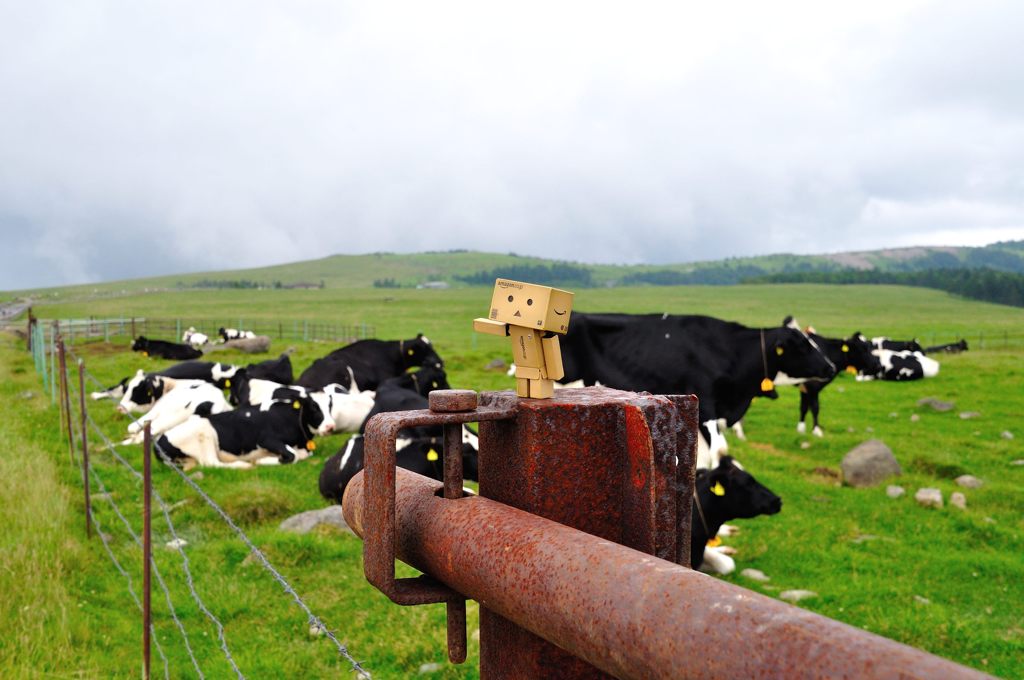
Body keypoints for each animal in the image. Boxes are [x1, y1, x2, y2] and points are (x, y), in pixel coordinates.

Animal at [154, 393, 335, 466]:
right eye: (313, 407)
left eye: (330, 405)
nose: (330, 426)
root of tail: (159, 442)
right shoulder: (266, 439)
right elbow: (292, 455)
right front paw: (262, 461)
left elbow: (300, 455)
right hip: (205, 433)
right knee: (211, 463)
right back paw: (242, 465)